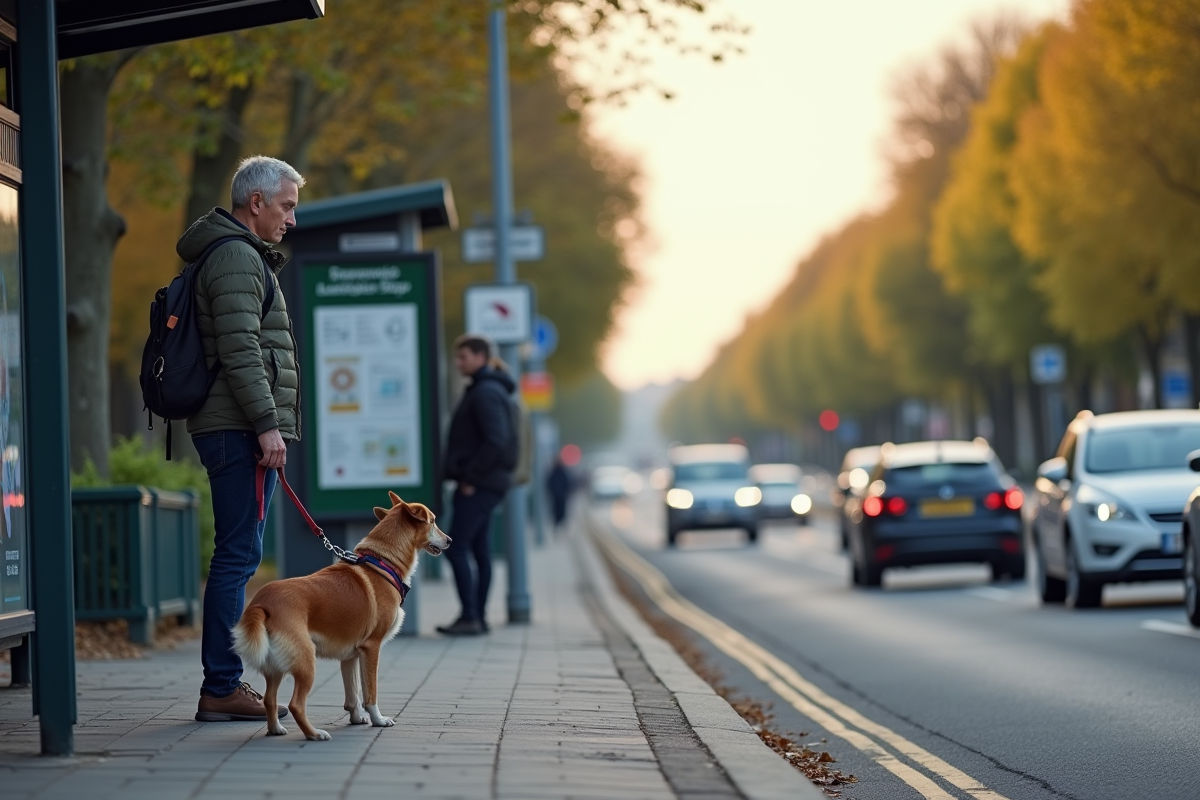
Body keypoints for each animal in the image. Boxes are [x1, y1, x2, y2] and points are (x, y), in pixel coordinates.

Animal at [231, 491, 448, 743]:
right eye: (433, 521)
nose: (450, 540)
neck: (381, 562)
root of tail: (262, 603)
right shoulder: (371, 648)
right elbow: (370, 692)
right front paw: (378, 719)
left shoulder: (350, 656)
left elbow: (353, 692)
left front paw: (356, 718)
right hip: (306, 661)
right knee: (296, 705)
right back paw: (314, 734)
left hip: (275, 666)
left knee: (269, 699)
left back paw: (275, 729)